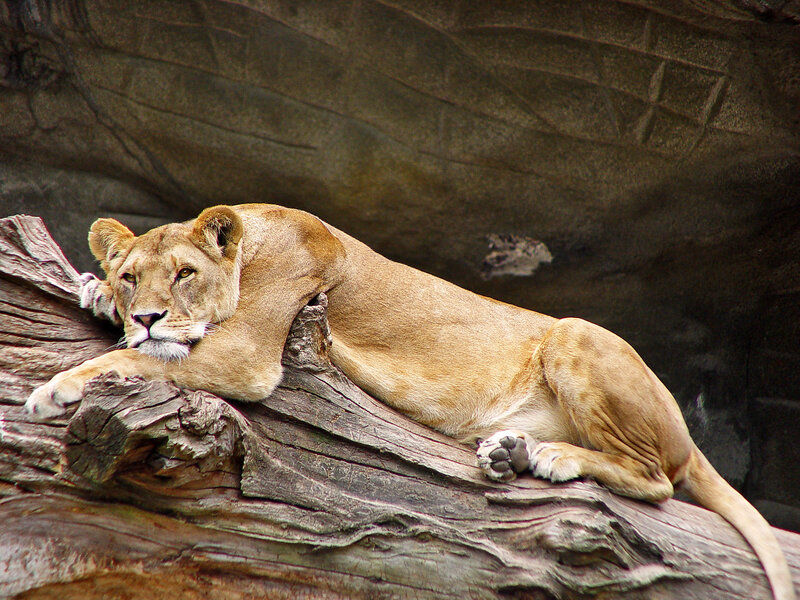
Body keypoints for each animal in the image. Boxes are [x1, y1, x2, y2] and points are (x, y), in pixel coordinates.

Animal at [25, 204, 794, 600]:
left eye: (184, 274)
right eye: (131, 276)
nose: (148, 313)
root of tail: (686, 429)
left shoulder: (249, 353)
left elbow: (131, 359)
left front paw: (53, 388)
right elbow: (136, 345)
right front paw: (94, 294)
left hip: (577, 335)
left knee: (657, 480)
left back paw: (548, 457)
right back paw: (511, 450)